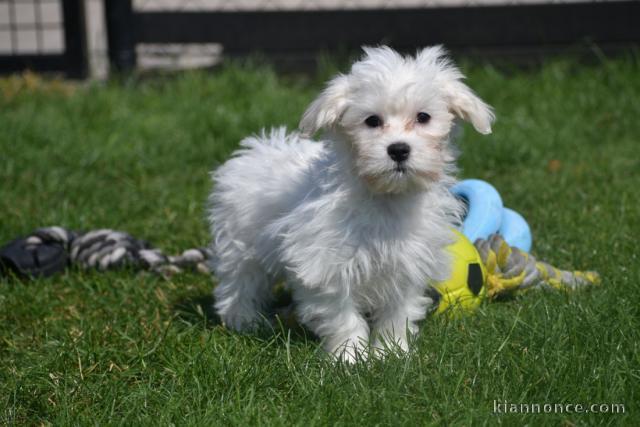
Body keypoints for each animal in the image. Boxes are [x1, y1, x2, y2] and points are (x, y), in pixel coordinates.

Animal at [210, 46, 496, 362]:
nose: (398, 149)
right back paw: (244, 320)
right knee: (240, 281)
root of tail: (257, 149)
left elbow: (398, 312)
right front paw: (349, 358)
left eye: (423, 117)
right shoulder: (326, 264)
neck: (384, 198)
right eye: (372, 121)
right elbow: (342, 314)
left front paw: (391, 353)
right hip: (240, 242)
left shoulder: (406, 264)